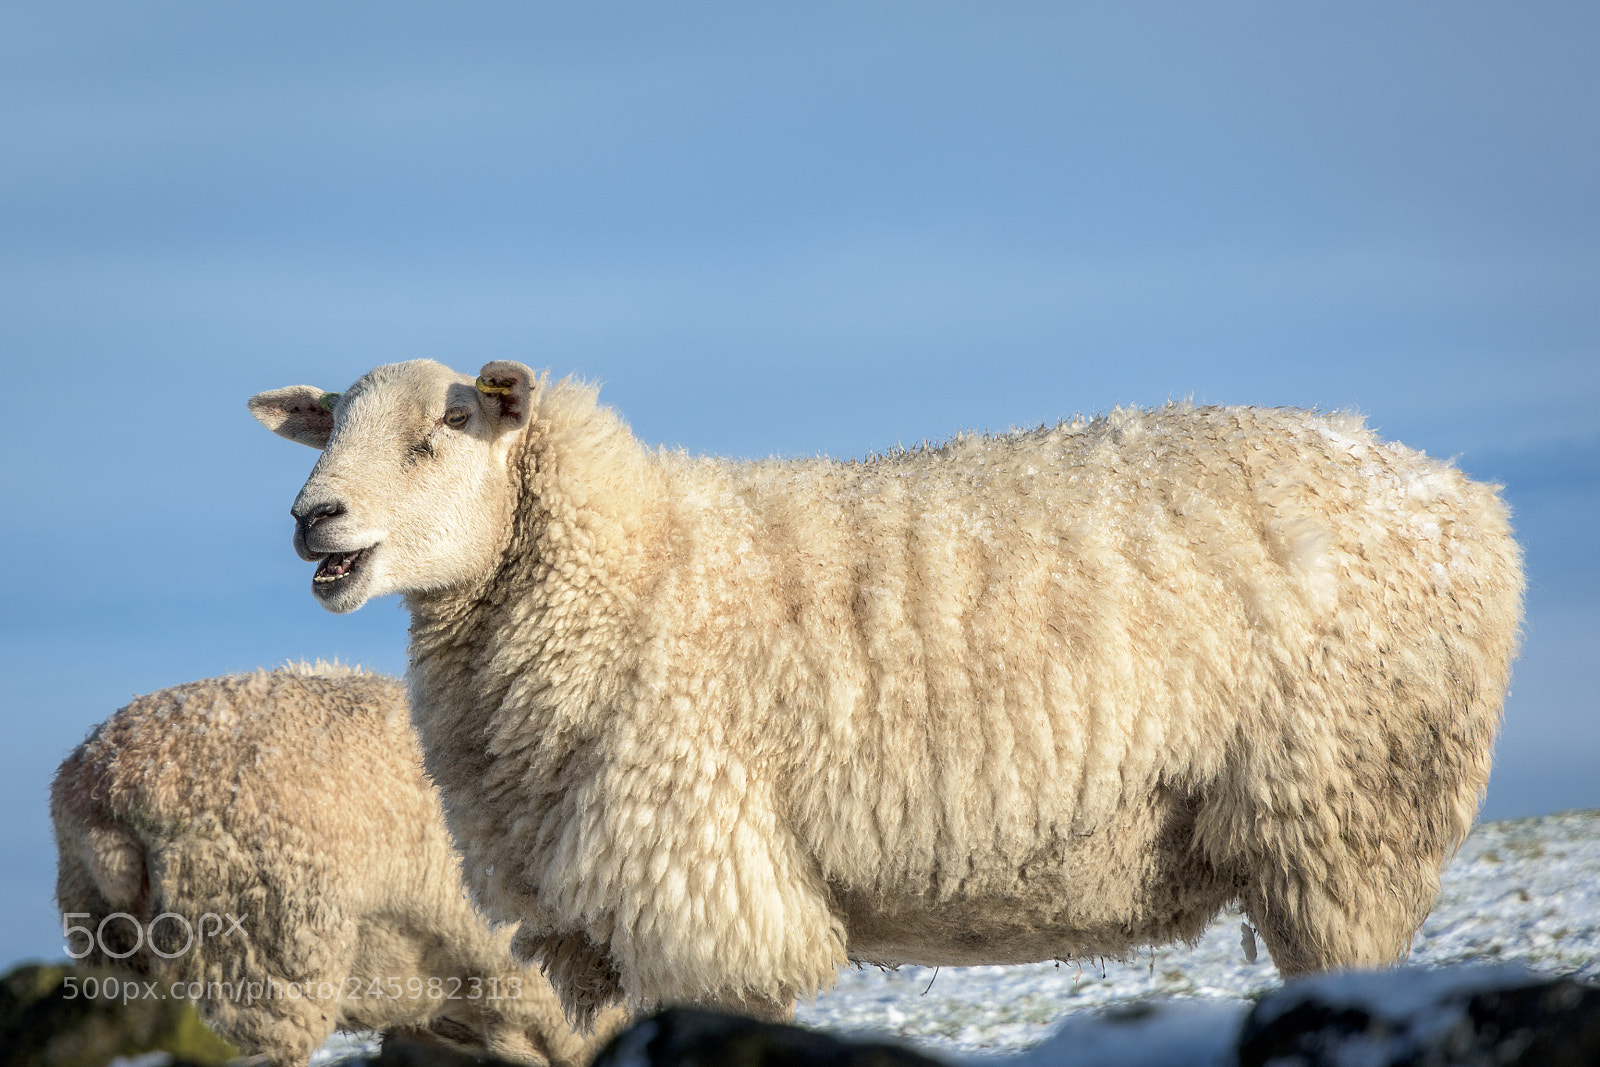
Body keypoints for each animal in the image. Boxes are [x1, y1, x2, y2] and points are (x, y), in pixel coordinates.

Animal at [249, 360, 1524, 1025]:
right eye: (329, 427)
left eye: (438, 430)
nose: (313, 516)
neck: (635, 565)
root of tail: (1468, 496)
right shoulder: (594, 934)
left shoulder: (711, 903)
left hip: (1345, 812)